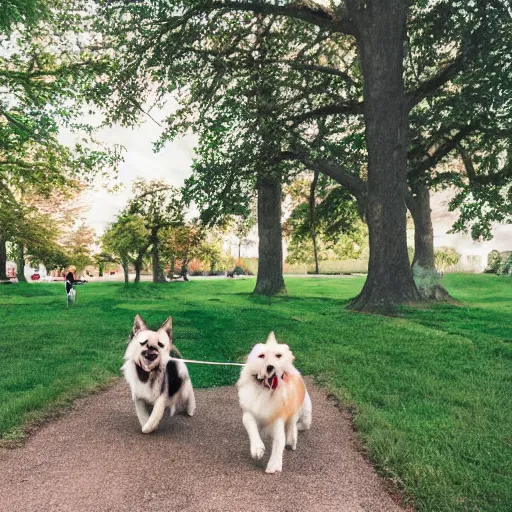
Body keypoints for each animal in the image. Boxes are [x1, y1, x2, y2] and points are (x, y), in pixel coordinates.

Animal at [236, 332, 312, 472]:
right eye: (261, 356)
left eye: (278, 355)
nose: (270, 367)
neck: (265, 391)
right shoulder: (249, 411)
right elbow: (251, 426)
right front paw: (257, 448)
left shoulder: (278, 418)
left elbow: (279, 442)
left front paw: (274, 464)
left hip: (302, 415)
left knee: (295, 424)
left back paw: (292, 438)